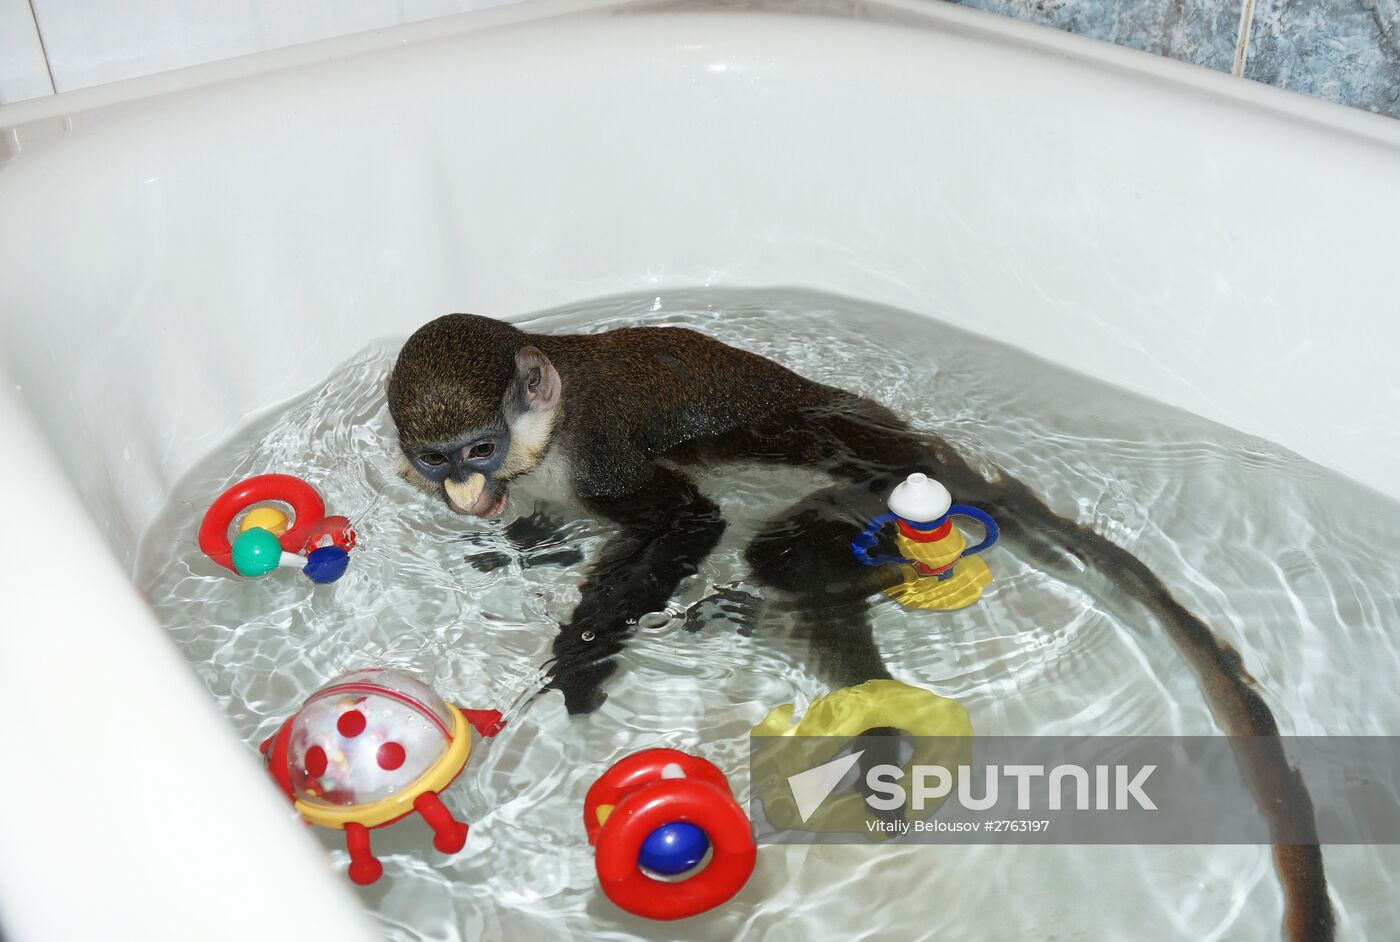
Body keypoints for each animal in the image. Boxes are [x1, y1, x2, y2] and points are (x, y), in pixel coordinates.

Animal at [387, 312, 1333, 941]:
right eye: (436, 458)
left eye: (476, 449)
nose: (461, 488)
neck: (547, 435)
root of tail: (922, 452)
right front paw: (525, 545)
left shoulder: (606, 455)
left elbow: (690, 520)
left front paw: (580, 660)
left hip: (879, 499)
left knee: (777, 550)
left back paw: (874, 718)